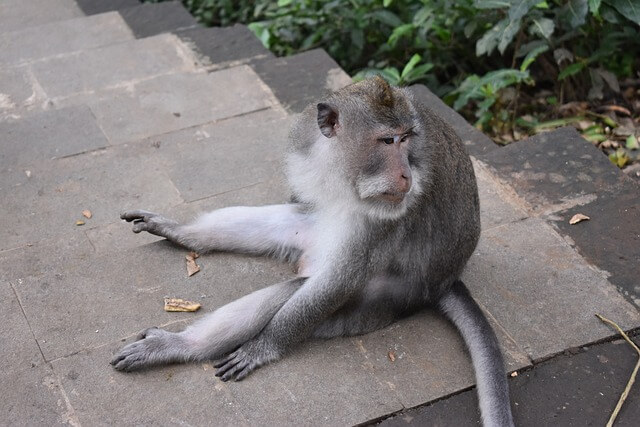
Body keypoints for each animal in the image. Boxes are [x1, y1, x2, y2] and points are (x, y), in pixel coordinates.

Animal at [111, 77, 516, 427]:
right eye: (388, 141)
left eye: (406, 139)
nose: (406, 176)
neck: (340, 168)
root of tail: (445, 281)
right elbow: (301, 205)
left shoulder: (388, 213)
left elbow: (337, 282)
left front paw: (264, 346)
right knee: (287, 222)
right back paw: (184, 238)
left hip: (380, 304)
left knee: (300, 289)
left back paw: (181, 346)